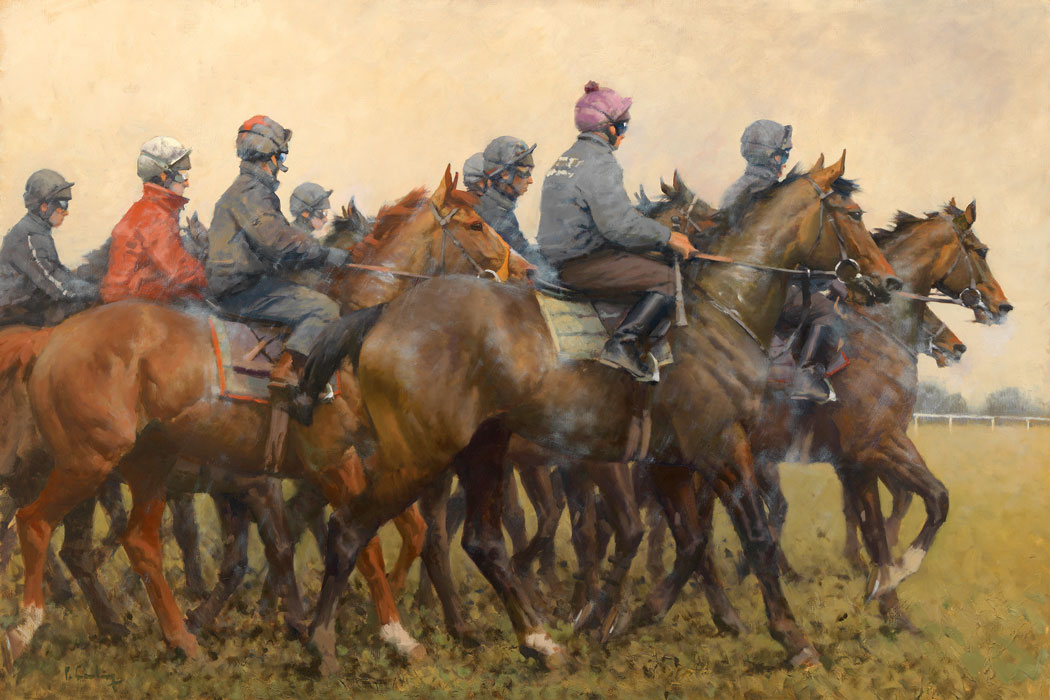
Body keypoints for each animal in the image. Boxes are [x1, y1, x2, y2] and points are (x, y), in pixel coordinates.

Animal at [0, 166, 529, 674]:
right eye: (475, 224)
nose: (524, 271)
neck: (347, 339)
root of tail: (49, 340)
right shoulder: (328, 464)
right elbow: (355, 542)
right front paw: (384, 633)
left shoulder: (339, 470)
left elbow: (362, 538)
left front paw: (361, 625)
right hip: (86, 463)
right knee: (35, 525)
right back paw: (27, 629)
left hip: (146, 465)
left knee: (138, 542)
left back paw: (179, 639)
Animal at [298, 152, 901, 673]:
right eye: (853, 215)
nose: (887, 282)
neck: (718, 312)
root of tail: (382, 314)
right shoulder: (721, 448)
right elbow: (754, 537)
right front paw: (794, 640)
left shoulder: (669, 462)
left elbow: (690, 543)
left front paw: (626, 620)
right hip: (418, 457)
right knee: (352, 529)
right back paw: (328, 643)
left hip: (481, 451)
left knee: (480, 542)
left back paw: (539, 642)